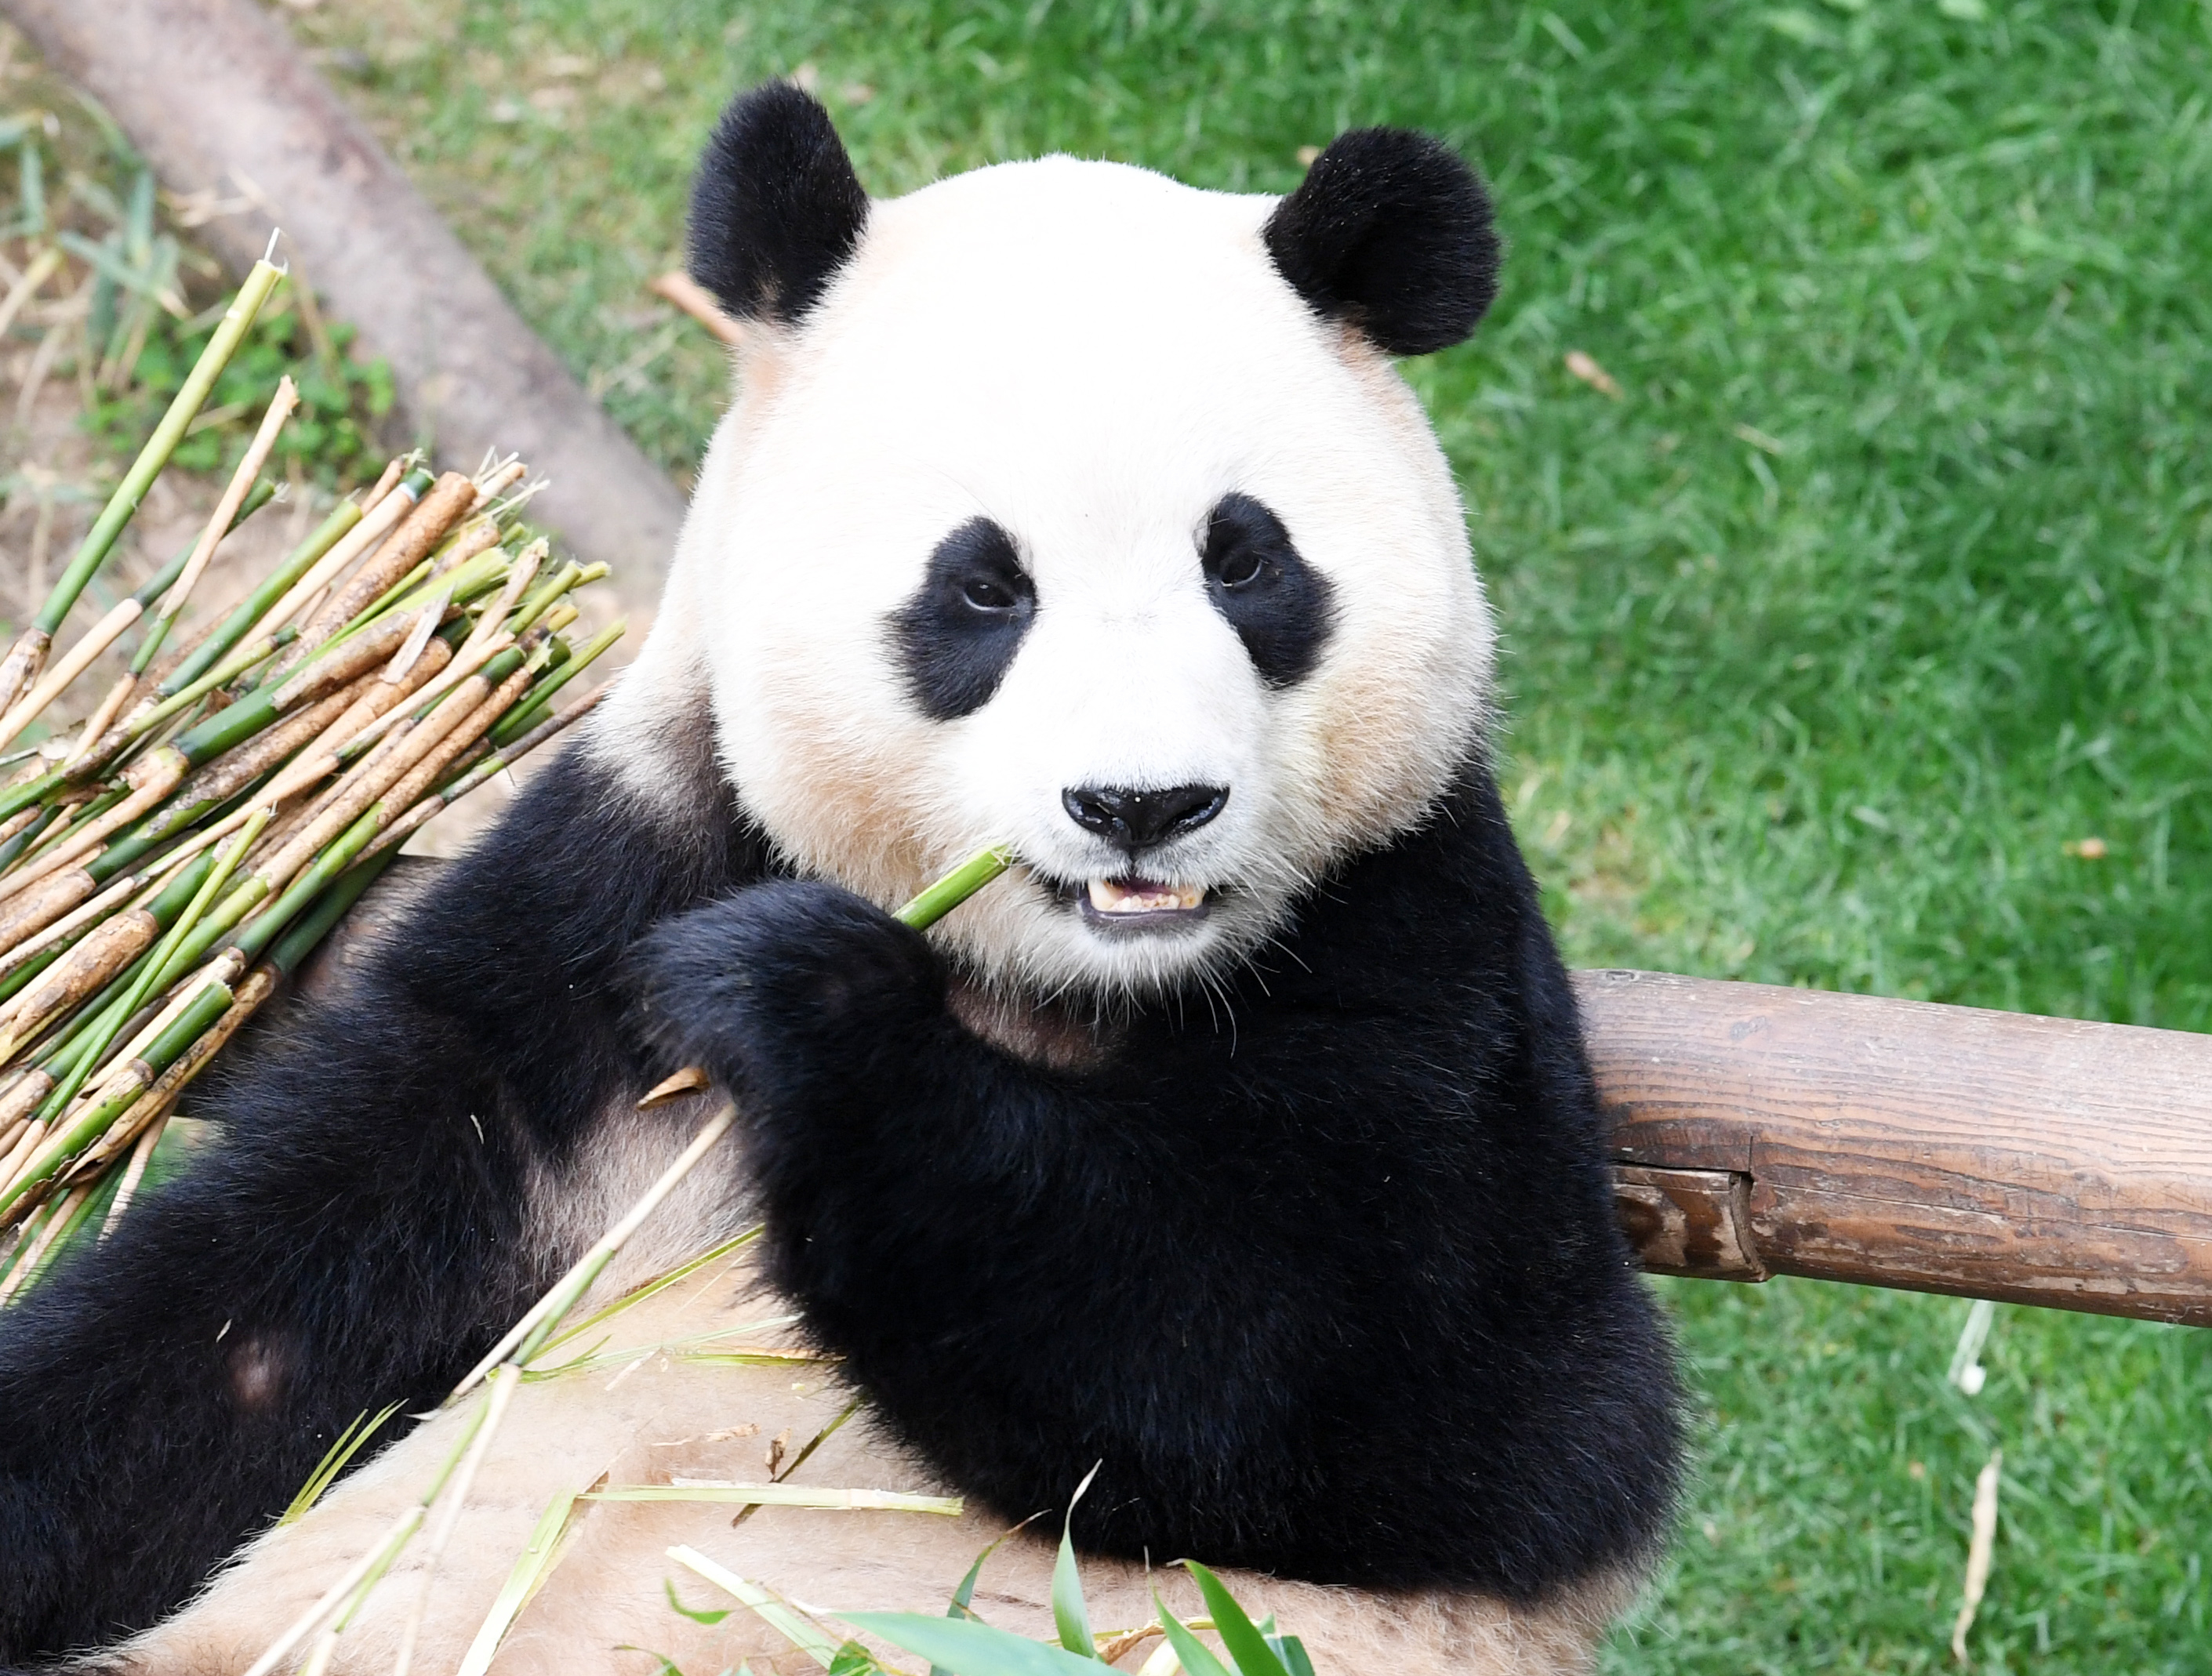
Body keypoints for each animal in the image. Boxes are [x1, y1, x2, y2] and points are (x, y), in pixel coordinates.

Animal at [0, 82, 1672, 1676]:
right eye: (984, 585)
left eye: (1246, 562)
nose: (1143, 806)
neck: (1061, 984)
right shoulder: (601, 909)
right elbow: (260, 1297)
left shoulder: (1420, 931)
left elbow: (1441, 1394)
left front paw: (804, 996)